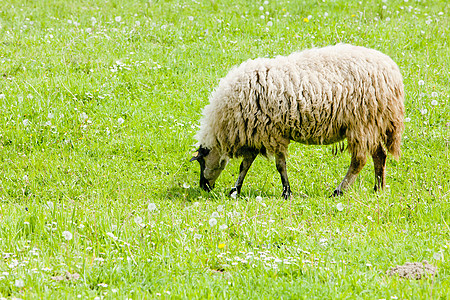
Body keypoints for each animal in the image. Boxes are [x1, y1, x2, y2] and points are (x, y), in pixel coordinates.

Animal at [189, 43, 404, 198]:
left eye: (200, 162)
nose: (203, 187)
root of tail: (392, 73)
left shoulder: (271, 133)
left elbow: (279, 166)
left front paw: (286, 192)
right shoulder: (256, 133)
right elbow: (245, 165)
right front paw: (235, 190)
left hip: (362, 122)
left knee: (359, 161)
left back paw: (339, 191)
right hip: (373, 123)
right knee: (379, 155)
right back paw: (378, 188)